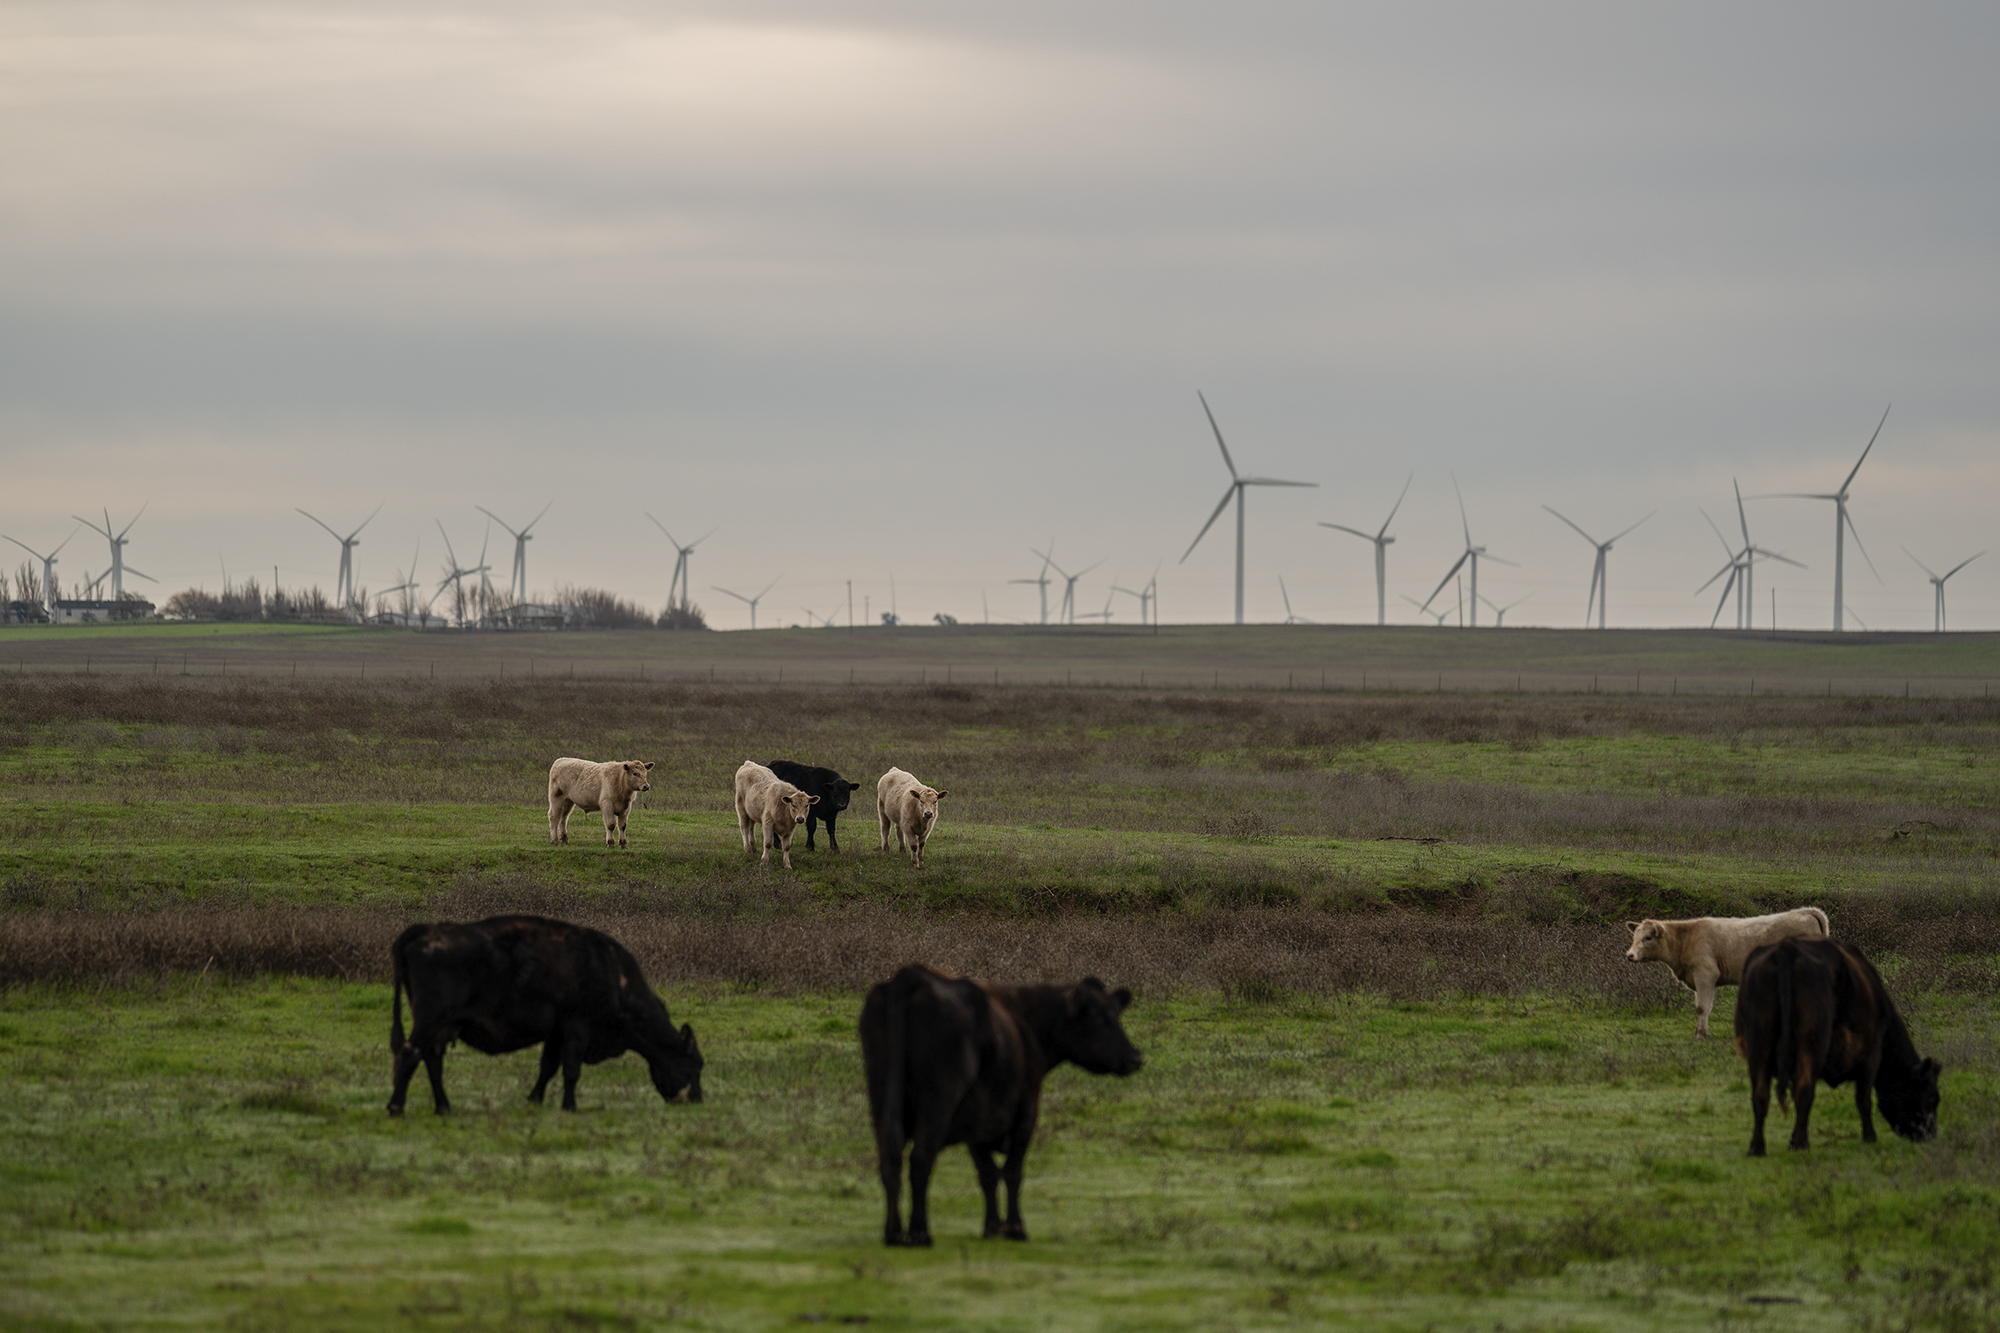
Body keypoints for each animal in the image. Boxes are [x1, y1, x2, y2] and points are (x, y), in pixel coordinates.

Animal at [388, 912, 704, 1112]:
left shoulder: (556, 1032)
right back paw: (396, 1107)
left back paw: (444, 1107)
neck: (612, 975)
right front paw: (570, 1106)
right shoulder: (577, 1027)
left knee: (432, 1060)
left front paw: (534, 1100)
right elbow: (571, 1070)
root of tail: (425, 931)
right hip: (430, 1022)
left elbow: (548, 1067)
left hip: (440, 1028)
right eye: (695, 1064)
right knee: (410, 1053)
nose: (697, 1100)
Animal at [856, 960, 1144, 1240]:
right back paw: (920, 1233)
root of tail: (911, 976)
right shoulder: (1026, 1109)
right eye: (1099, 1018)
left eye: (1116, 1014)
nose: (1135, 1058)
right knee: (920, 1159)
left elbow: (987, 1175)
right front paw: (1015, 1228)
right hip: (939, 1098)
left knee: (890, 1158)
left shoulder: (977, 1117)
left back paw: (893, 1233)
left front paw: (992, 1226)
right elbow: (1012, 1171)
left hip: (881, 1095)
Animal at [1736, 932, 1936, 1152]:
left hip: (1759, 1039)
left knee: (1761, 1094)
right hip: (1811, 1041)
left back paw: (1757, 1147)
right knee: (1805, 1090)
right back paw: (1801, 1143)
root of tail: (1787, 947)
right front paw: (1870, 1137)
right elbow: (1864, 1099)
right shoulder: (1871, 1052)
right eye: (1931, 1098)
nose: (1930, 1135)